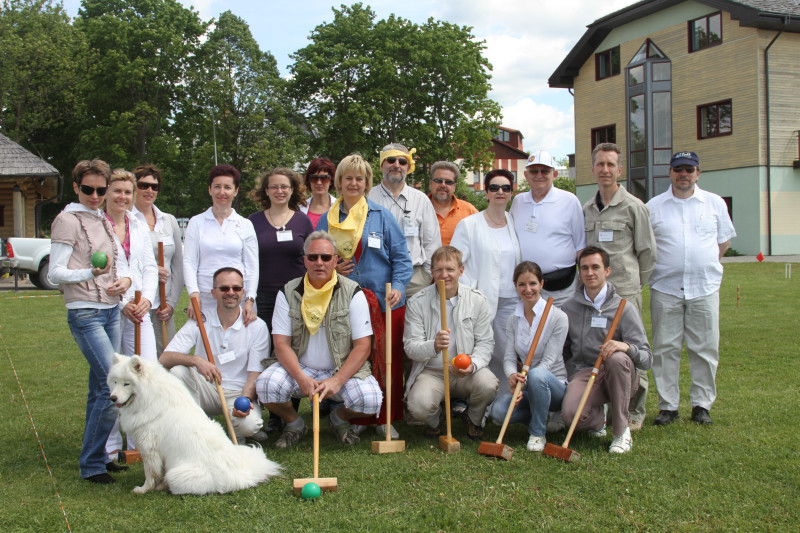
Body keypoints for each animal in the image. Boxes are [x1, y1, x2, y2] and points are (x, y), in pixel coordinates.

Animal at [106, 354, 282, 494]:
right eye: (114, 382)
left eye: (126, 383)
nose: (112, 398)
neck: (150, 395)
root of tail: (241, 477)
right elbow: (158, 472)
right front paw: (155, 486)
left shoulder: (149, 447)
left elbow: (150, 473)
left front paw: (143, 489)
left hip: (177, 475)